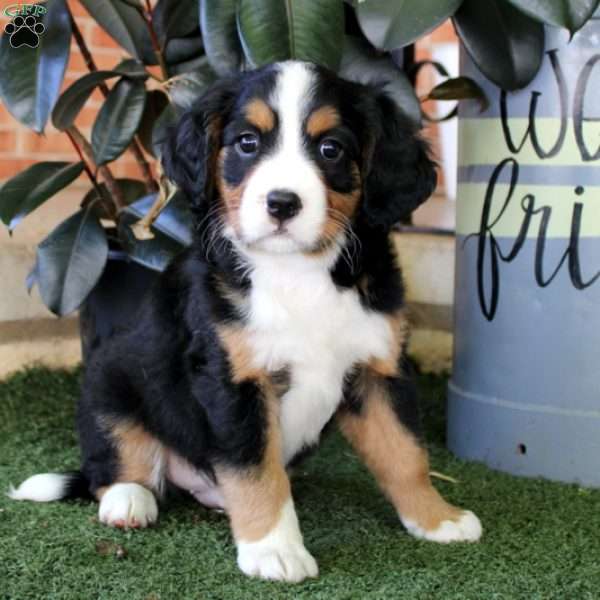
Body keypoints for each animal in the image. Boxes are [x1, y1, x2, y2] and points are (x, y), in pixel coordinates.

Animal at [9, 59, 482, 580]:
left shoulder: (378, 369)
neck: (298, 272)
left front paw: (437, 518)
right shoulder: (234, 379)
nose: (282, 203)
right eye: (247, 143)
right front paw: (274, 549)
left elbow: (405, 452)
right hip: (109, 378)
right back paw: (128, 501)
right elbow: (255, 470)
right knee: (112, 461)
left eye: (331, 149)